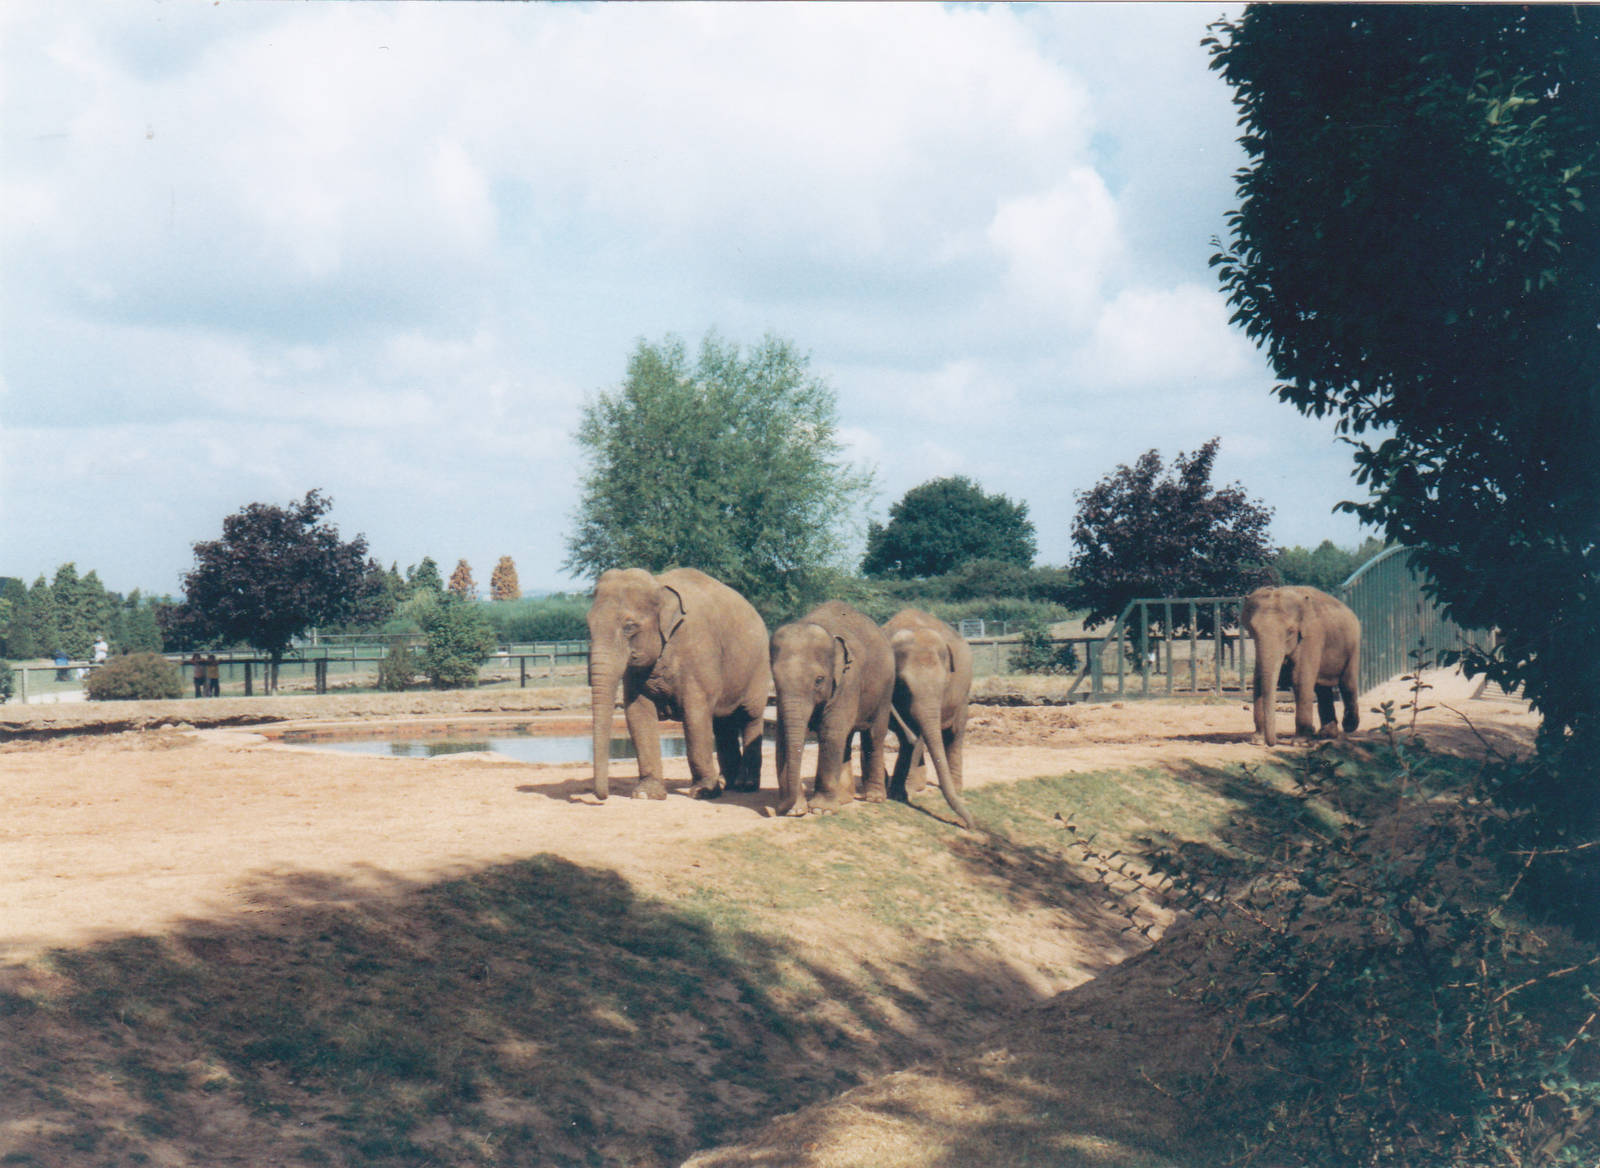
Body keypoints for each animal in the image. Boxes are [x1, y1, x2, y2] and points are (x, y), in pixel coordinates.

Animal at [586, 567, 769, 801]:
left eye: (629, 627)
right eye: (588, 625)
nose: (604, 796)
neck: (658, 585)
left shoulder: (698, 650)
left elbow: (695, 715)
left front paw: (704, 793)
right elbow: (637, 713)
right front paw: (647, 794)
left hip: (759, 668)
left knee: (750, 716)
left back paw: (746, 785)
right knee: (723, 723)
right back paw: (727, 784)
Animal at [769, 600, 895, 817]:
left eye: (819, 680)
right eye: (775, 679)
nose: (778, 810)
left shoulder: (849, 680)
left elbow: (831, 732)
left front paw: (821, 810)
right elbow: (782, 735)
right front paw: (796, 810)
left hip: (886, 690)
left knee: (873, 735)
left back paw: (875, 798)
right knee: (846, 738)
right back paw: (844, 799)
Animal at [883, 609, 978, 831]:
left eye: (944, 683)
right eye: (902, 685)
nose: (969, 825)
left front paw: (905, 790)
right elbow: (905, 730)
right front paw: (900, 793)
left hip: (964, 695)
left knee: (956, 733)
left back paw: (956, 788)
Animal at [1243, 585, 1361, 746]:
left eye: (1290, 632)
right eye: (1253, 631)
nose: (1272, 742)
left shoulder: (1312, 636)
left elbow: (1300, 679)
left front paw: (1299, 742)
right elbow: (1258, 680)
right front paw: (1257, 740)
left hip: (1353, 645)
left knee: (1347, 683)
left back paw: (1349, 726)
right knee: (1322, 689)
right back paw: (1326, 734)